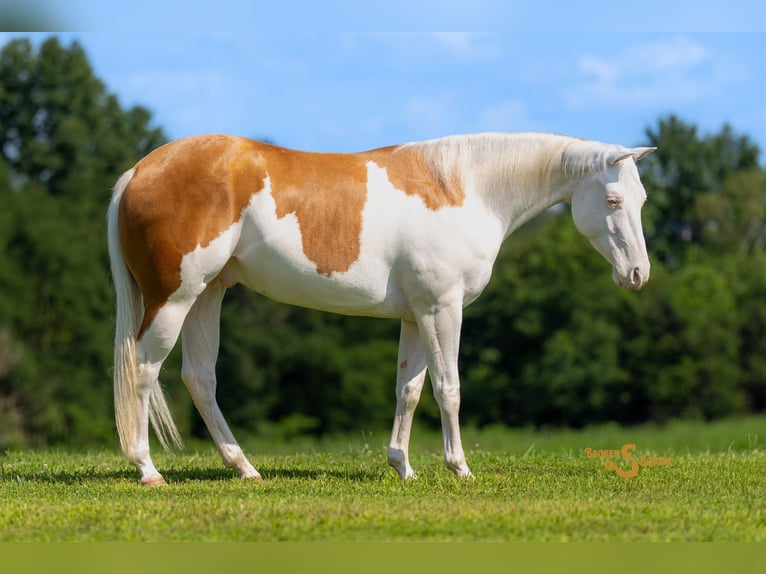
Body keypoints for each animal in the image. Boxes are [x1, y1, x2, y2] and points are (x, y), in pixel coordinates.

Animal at [107, 132, 654, 486]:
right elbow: (448, 388)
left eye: (643, 199)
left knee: (200, 379)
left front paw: (403, 467)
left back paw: (244, 467)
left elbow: (408, 390)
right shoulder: (442, 310)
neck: (463, 189)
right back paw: (148, 470)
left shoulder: (416, 316)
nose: (637, 275)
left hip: (208, 296)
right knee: (144, 370)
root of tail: (138, 171)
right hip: (174, 299)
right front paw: (459, 468)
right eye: (612, 200)